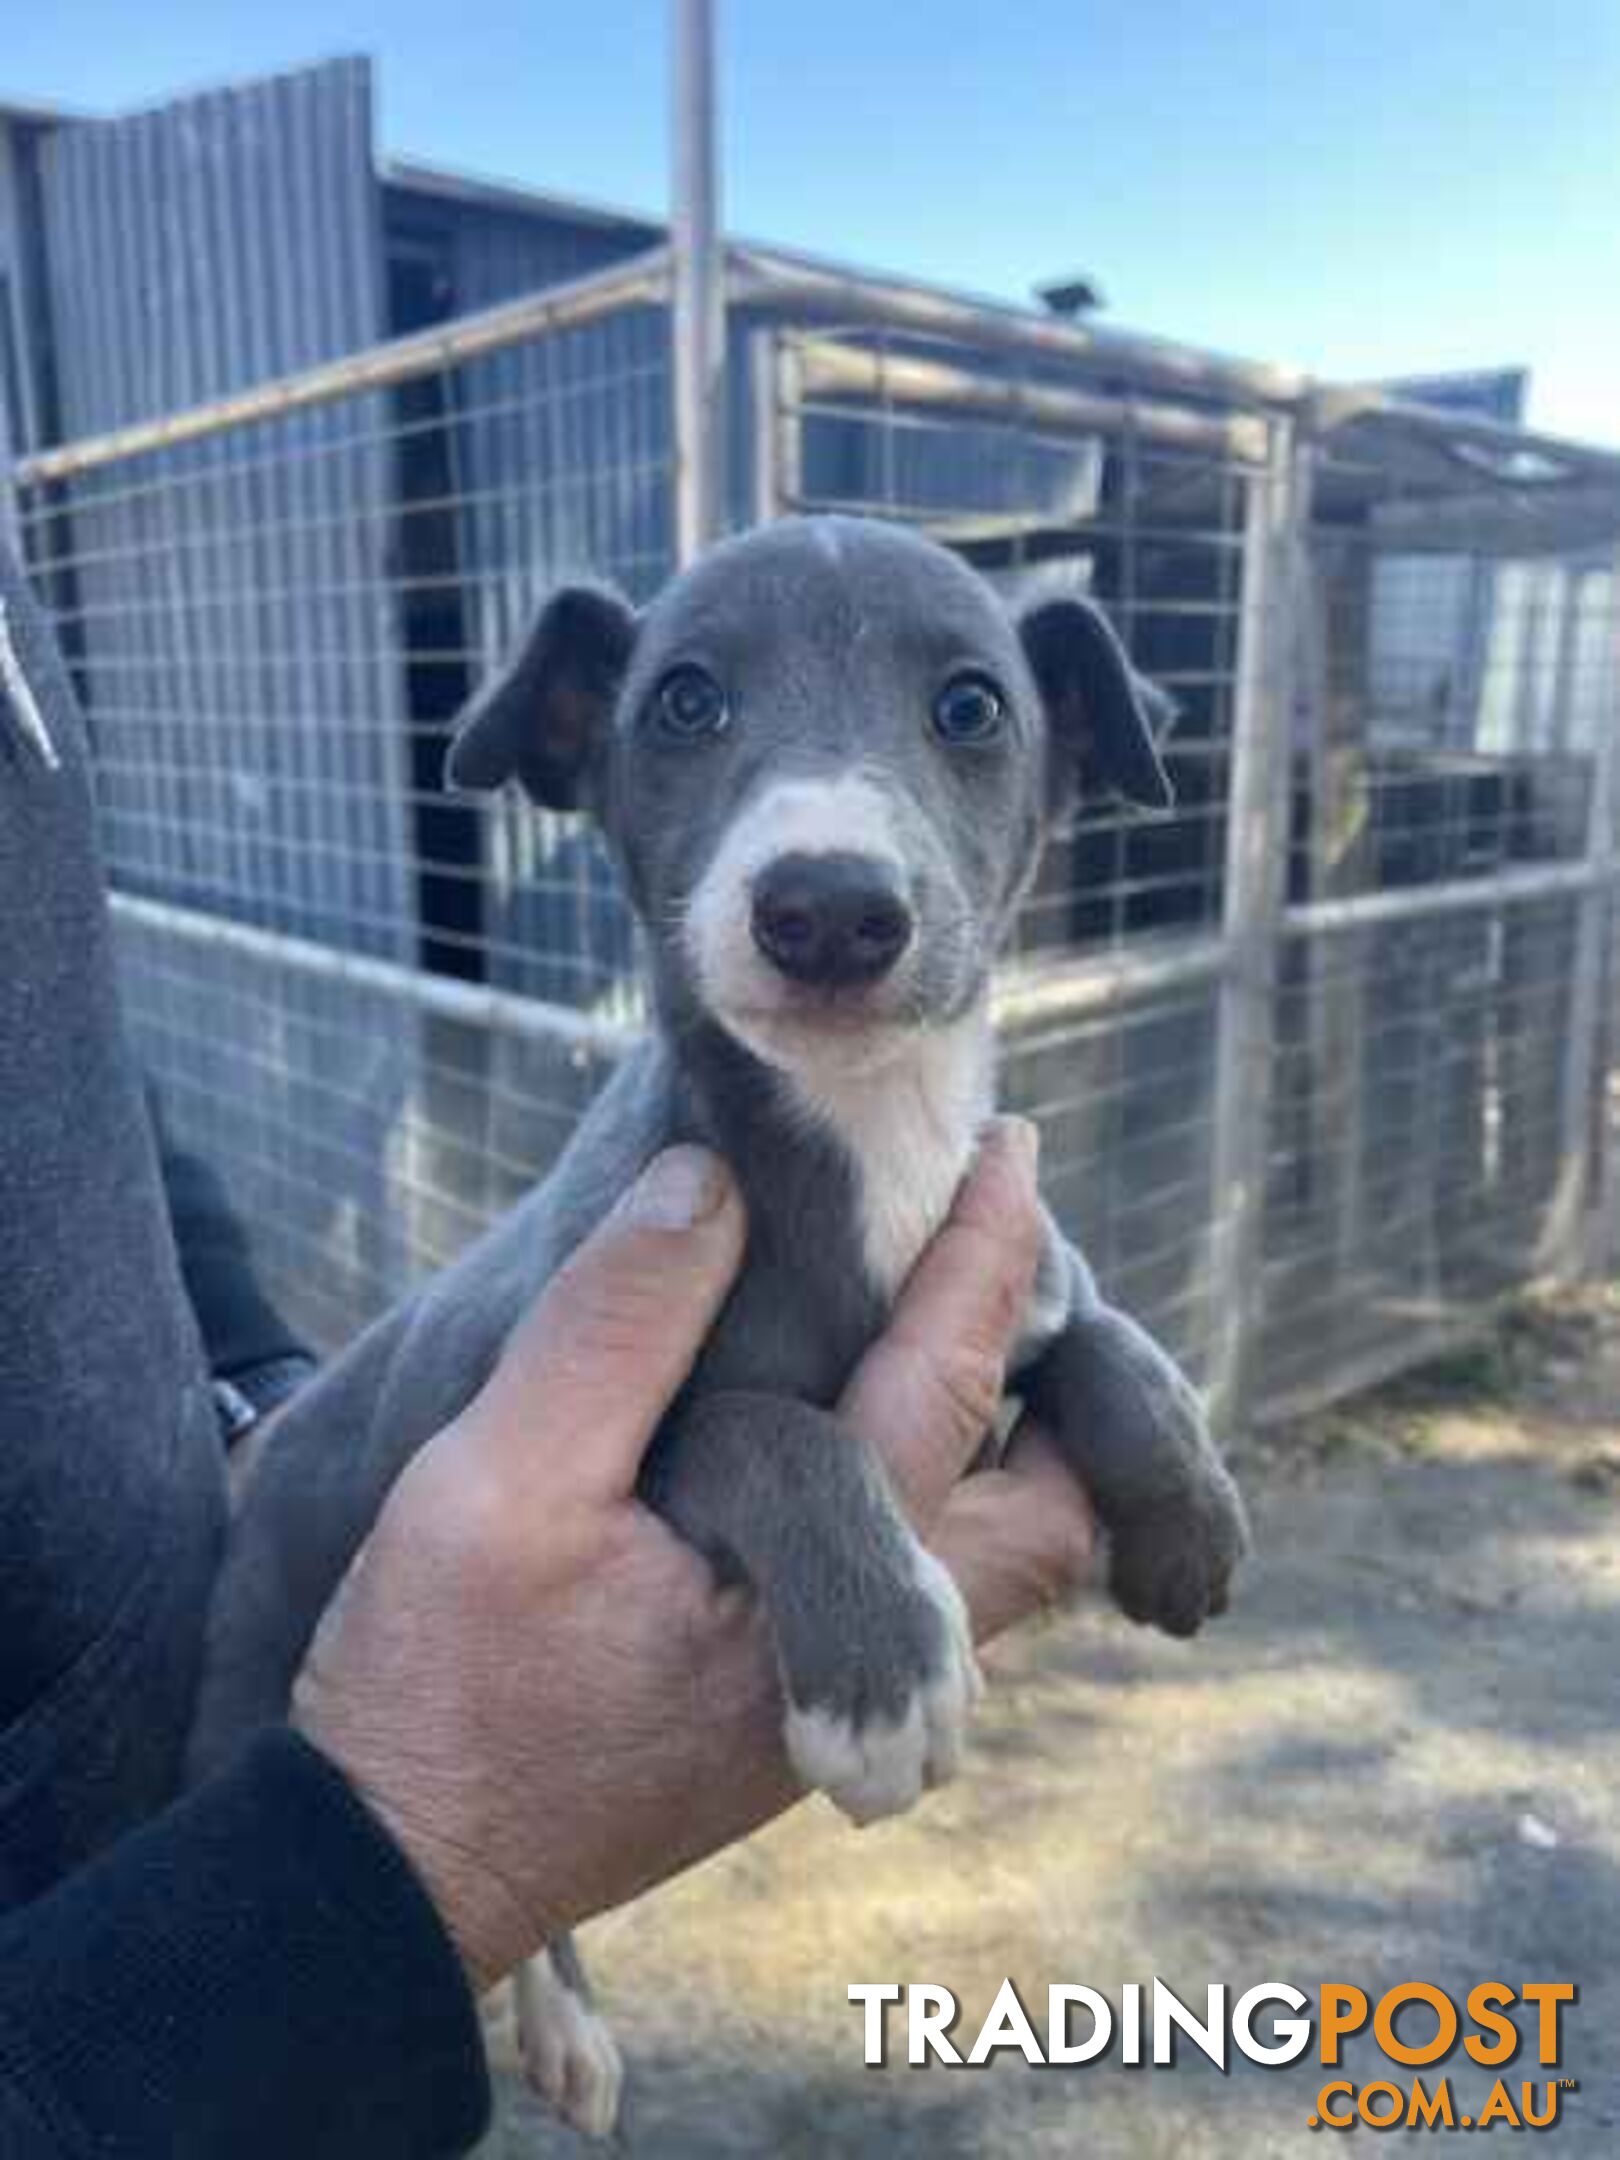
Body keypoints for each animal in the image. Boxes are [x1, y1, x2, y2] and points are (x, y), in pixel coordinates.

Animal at [193, 514, 1252, 2134]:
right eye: (685, 702)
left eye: (971, 706)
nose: (828, 907)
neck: (866, 1135)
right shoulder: (620, 1441)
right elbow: (778, 1431)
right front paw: (884, 1673)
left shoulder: (1009, 1269)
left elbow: (1105, 1332)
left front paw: (1190, 1516)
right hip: (250, 1673)